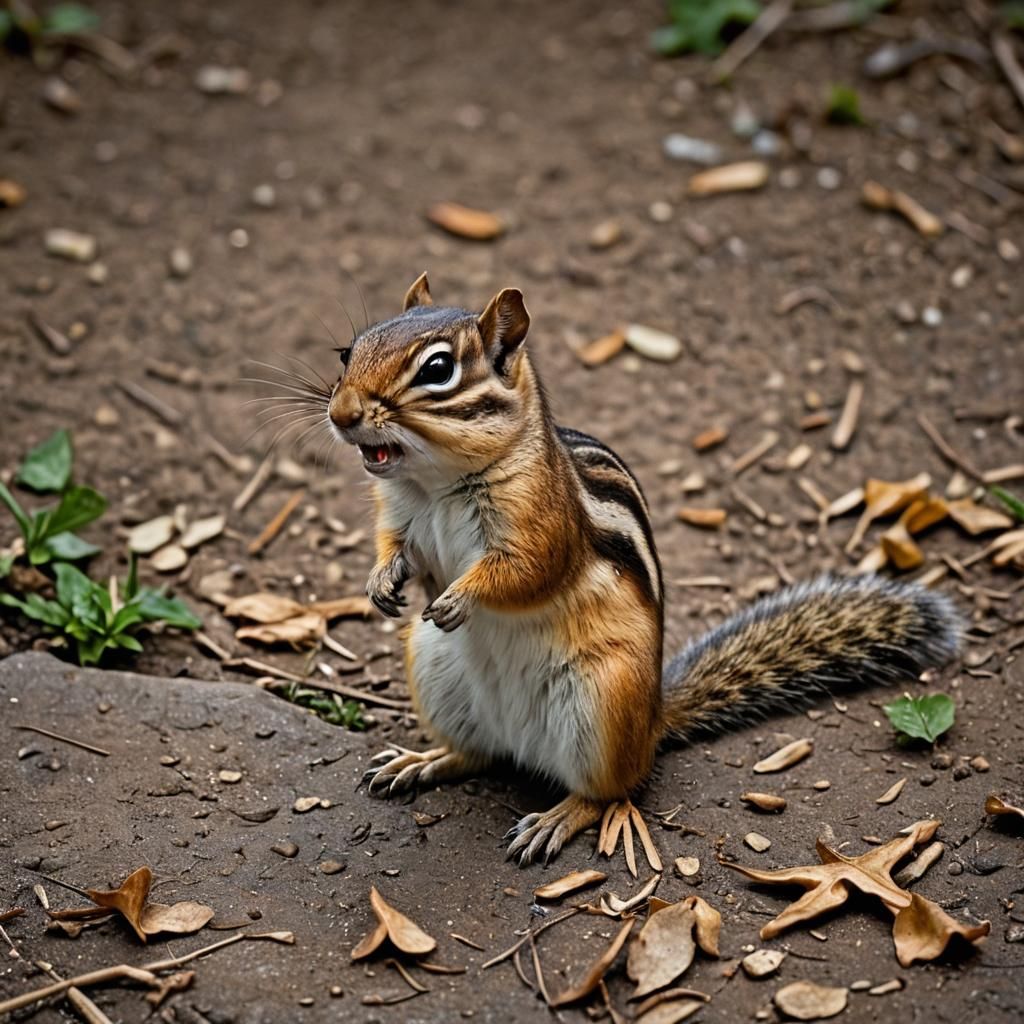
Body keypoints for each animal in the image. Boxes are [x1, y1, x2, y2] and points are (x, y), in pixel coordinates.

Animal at [327, 273, 961, 866]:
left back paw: (556, 817)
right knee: (478, 754)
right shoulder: (400, 515)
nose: (341, 413)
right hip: (436, 668)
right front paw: (380, 582)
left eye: (438, 369)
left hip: (603, 699)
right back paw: (424, 760)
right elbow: (393, 546)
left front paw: (460, 597)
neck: (435, 484)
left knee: (609, 792)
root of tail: (654, 718)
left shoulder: (544, 524)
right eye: (348, 351)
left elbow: (526, 571)